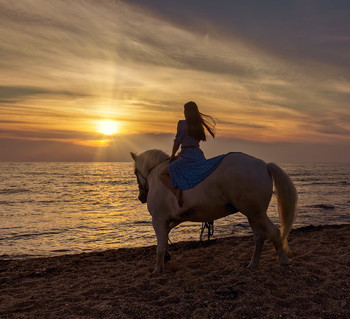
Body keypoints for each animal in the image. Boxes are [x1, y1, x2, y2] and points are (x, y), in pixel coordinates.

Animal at [130, 150, 296, 272]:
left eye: (135, 172)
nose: (141, 197)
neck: (157, 175)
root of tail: (265, 166)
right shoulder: (172, 219)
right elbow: (165, 238)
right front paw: (166, 257)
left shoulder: (158, 220)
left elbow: (159, 245)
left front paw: (158, 269)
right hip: (252, 214)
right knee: (259, 238)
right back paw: (253, 264)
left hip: (257, 214)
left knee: (274, 232)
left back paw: (283, 261)